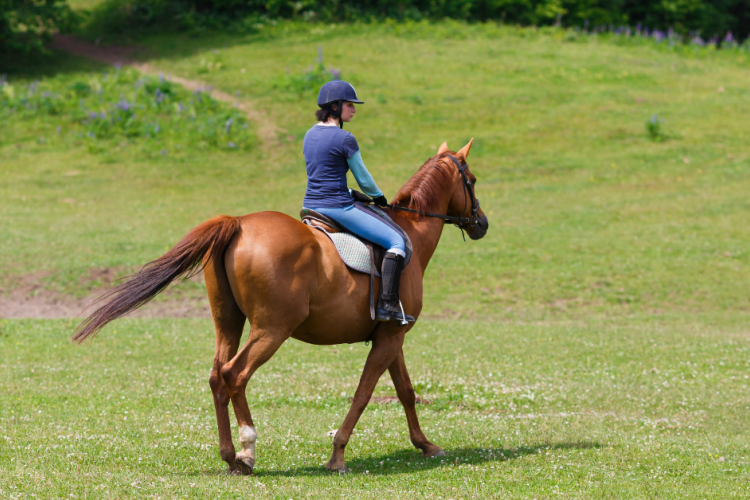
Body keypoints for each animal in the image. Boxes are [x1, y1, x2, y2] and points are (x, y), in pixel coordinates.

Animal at [73, 139, 489, 474]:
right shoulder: (390, 338)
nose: (481, 223)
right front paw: (337, 455)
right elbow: (364, 393)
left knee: (217, 376)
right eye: (472, 181)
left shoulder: (391, 335)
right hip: (272, 330)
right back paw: (248, 448)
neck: (410, 233)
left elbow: (404, 390)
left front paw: (425, 445)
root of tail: (239, 223)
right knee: (235, 374)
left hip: (229, 321)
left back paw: (231, 457)